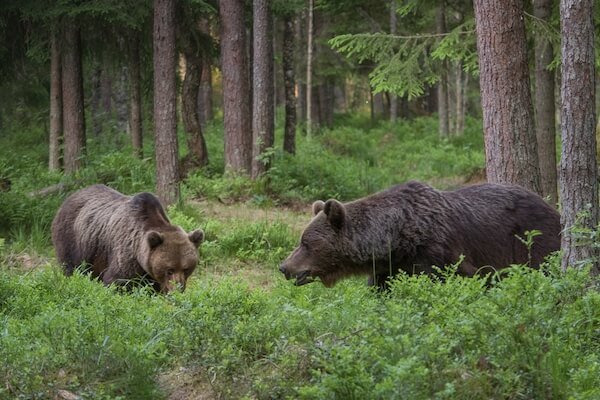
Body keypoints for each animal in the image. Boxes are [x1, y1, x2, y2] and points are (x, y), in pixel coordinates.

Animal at [50, 184, 204, 294]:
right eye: (169, 269)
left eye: (186, 268)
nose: (178, 288)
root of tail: (70, 197)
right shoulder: (126, 252)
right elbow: (117, 281)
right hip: (73, 239)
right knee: (71, 267)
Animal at [278, 180, 560, 288]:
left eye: (305, 243)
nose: (284, 267)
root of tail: (552, 207)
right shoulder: (388, 269)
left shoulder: (437, 254)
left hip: (532, 240)